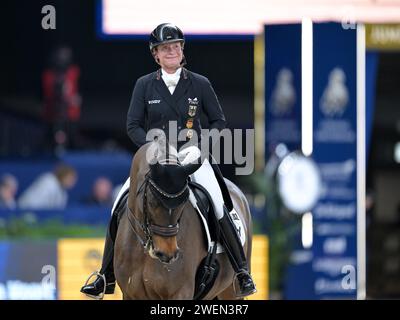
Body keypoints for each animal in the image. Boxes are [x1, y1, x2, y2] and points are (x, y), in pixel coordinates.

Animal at [114, 140, 255, 300]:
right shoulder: (129, 294)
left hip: (230, 290)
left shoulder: (180, 292)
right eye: (151, 201)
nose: (167, 254)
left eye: (183, 203)